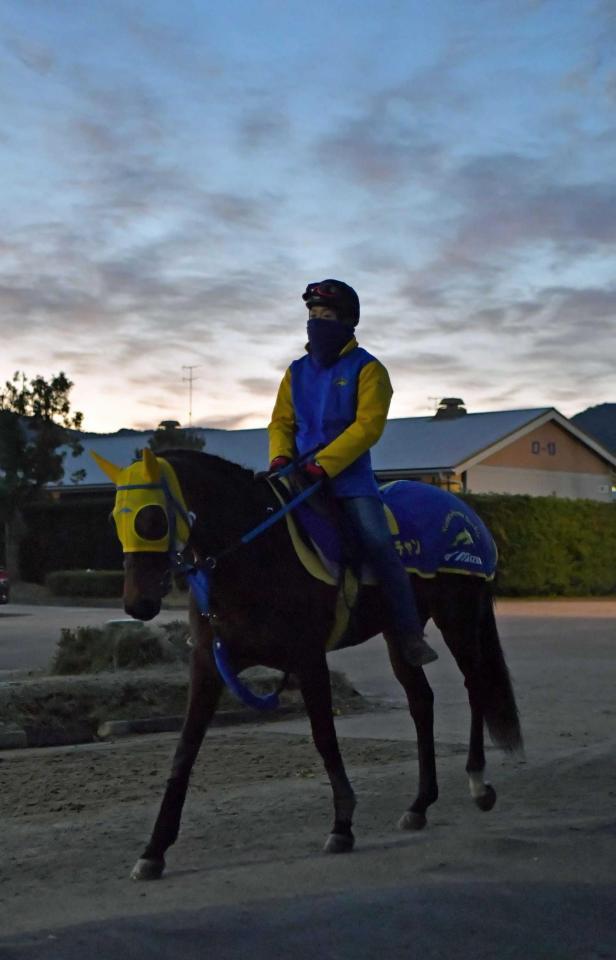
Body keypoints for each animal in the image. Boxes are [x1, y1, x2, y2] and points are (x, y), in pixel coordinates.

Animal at [94, 446, 524, 880]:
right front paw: (154, 849)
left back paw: (478, 783)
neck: (256, 553)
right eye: (114, 518)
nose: (137, 604)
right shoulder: (208, 665)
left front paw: (342, 825)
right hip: (401, 632)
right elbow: (185, 749)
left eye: (151, 518)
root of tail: (464, 513)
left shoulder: (309, 659)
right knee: (422, 701)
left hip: (459, 617)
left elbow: (324, 737)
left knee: (475, 686)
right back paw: (420, 804)